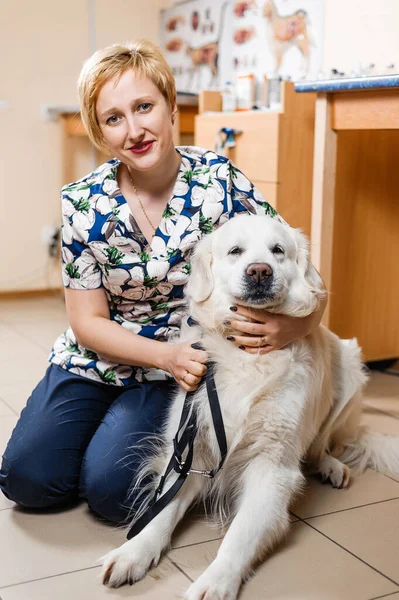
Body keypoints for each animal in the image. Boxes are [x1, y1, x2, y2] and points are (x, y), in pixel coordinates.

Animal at [101, 217, 399, 600]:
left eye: (277, 250)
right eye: (235, 251)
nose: (259, 271)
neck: (247, 354)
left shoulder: (272, 467)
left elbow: (240, 535)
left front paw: (215, 582)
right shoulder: (191, 448)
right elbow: (162, 510)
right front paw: (134, 552)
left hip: (349, 369)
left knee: (323, 444)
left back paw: (330, 466)